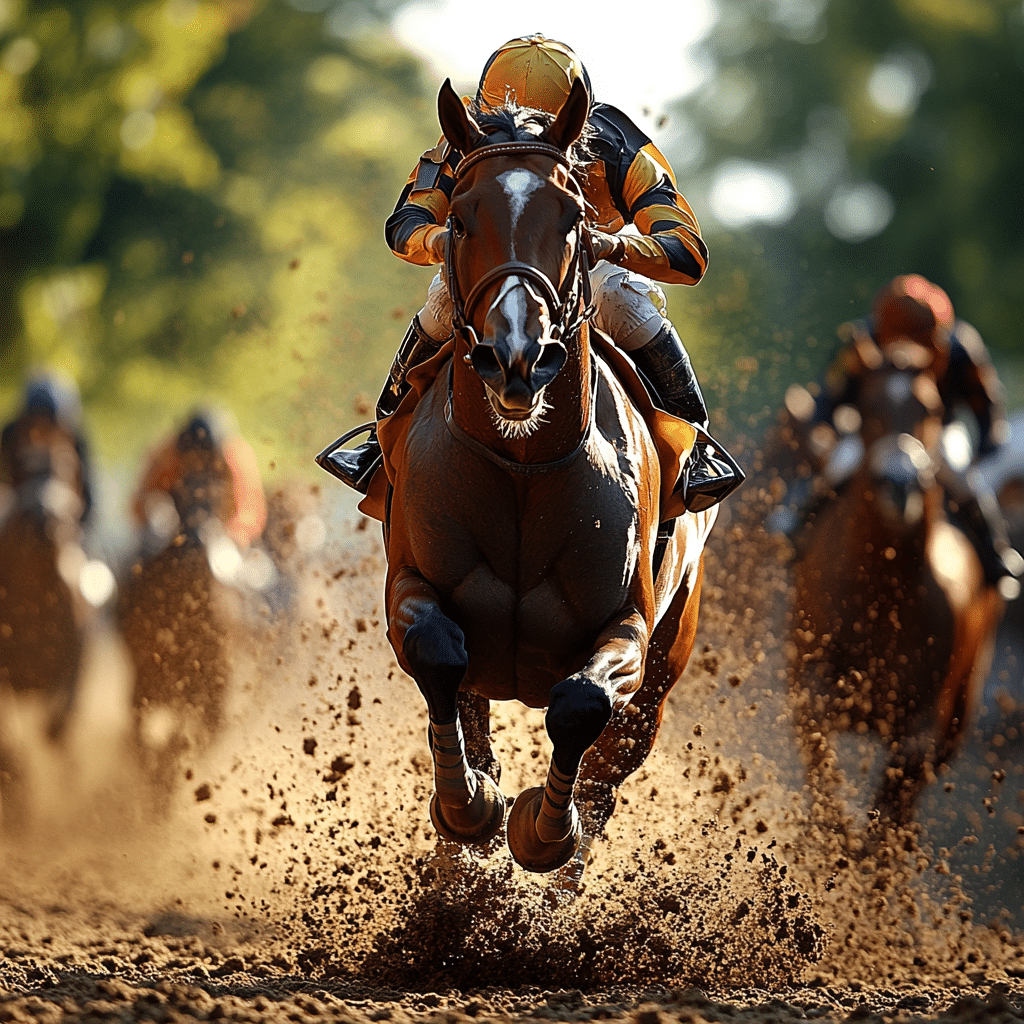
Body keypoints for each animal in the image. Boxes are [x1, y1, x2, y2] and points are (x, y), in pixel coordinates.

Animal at [368, 79, 720, 874]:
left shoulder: (629, 629)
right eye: (460, 219)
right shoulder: (412, 582)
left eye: (573, 218)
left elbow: (580, 705)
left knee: (609, 771)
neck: (524, 468)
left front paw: (542, 831)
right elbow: (438, 657)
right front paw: (470, 807)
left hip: (664, 673)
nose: (517, 357)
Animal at [788, 336, 1004, 827]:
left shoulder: (923, 723)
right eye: (868, 405)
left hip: (962, 707)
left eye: (931, 407)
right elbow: (819, 757)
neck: (882, 593)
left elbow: (893, 801)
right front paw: (830, 829)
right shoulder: (810, 685)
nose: (900, 482)